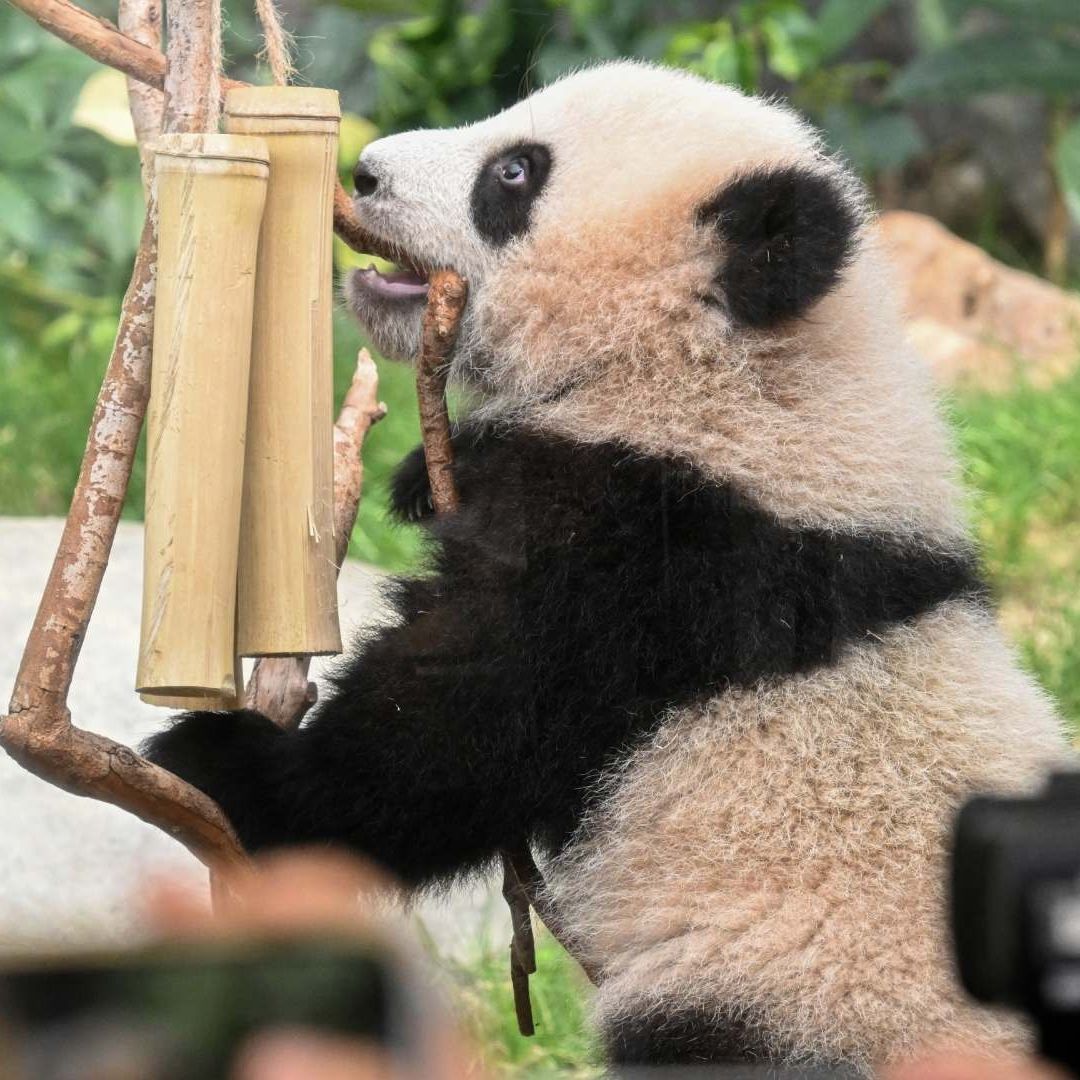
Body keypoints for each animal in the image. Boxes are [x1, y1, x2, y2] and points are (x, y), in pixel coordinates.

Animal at [146, 61, 1075, 1074]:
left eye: (515, 173)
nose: (366, 172)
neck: (736, 372)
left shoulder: (668, 554)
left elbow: (462, 727)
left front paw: (226, 769)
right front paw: (427, 478)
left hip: (794, 997)